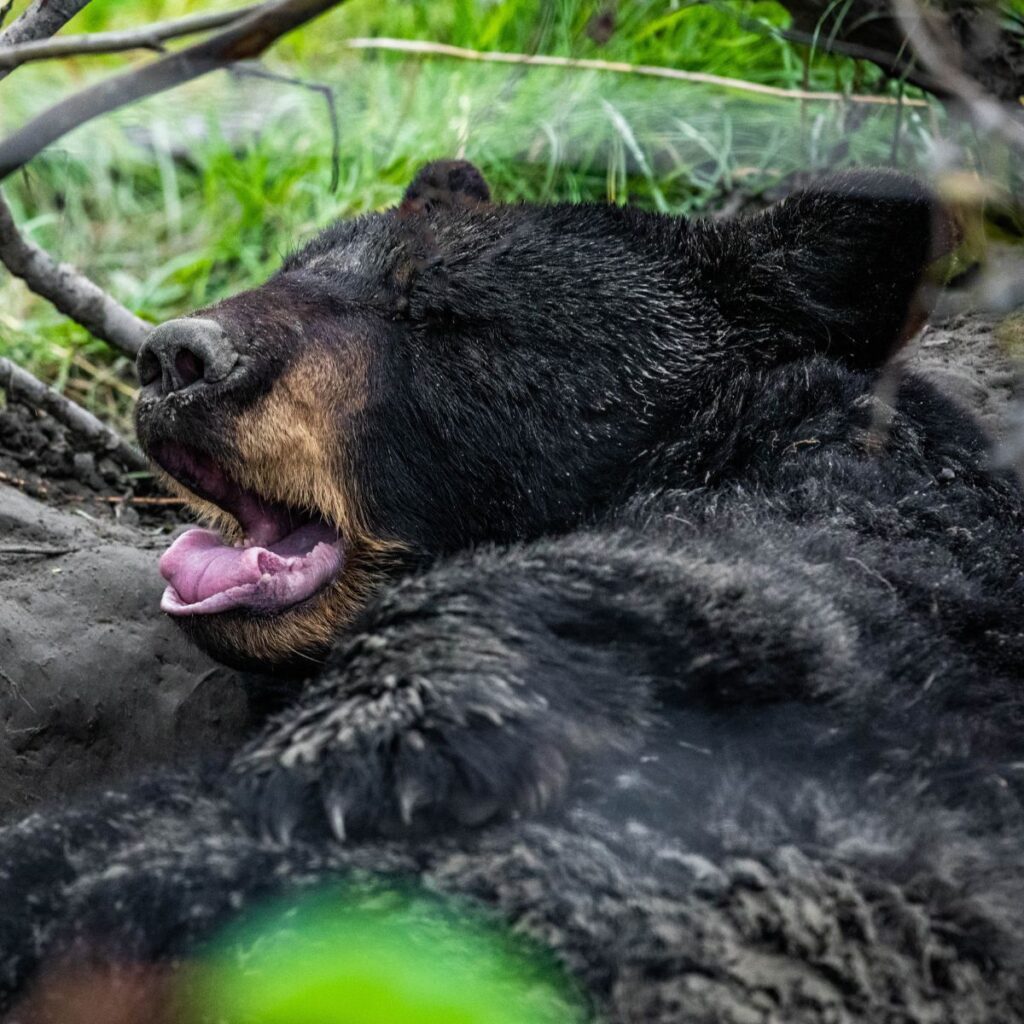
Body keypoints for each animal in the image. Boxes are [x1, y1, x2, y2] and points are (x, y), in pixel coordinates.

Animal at [2, 161, 1024, 1024]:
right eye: (291, 264)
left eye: (440, 312)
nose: (175, 357)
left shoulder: (874, 508)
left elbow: (768, 574)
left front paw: (366, 738)